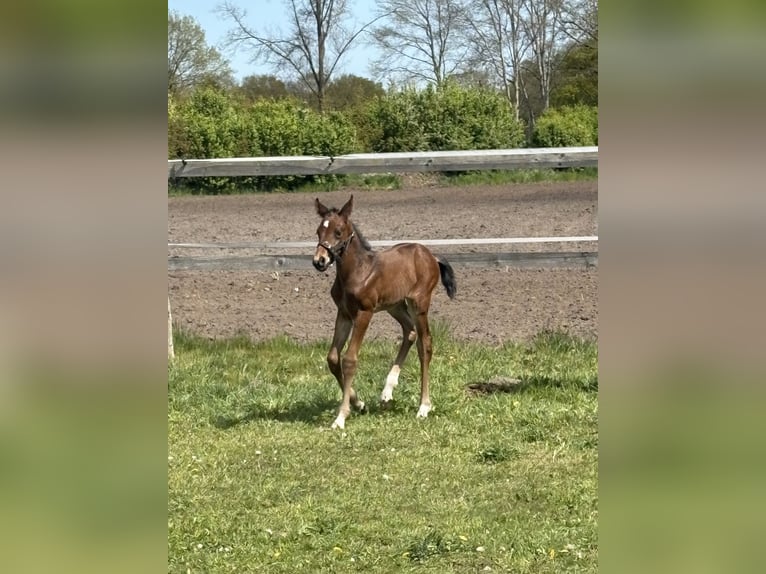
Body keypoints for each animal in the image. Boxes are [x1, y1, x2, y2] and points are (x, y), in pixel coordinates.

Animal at [312, 195, 457, 429]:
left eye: (338, 231)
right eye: (318, 231)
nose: (319, 261)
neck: (357, 271)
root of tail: (432, 256)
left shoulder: (364, 312)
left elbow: (349, 360)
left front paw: (341, 416)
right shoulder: (344, 313)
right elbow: (333, 358)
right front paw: (359, 404)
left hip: (419, 303)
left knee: (425, 344)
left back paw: (423, 406)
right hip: (394, 305)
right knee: (410, 332)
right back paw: (387, 391)